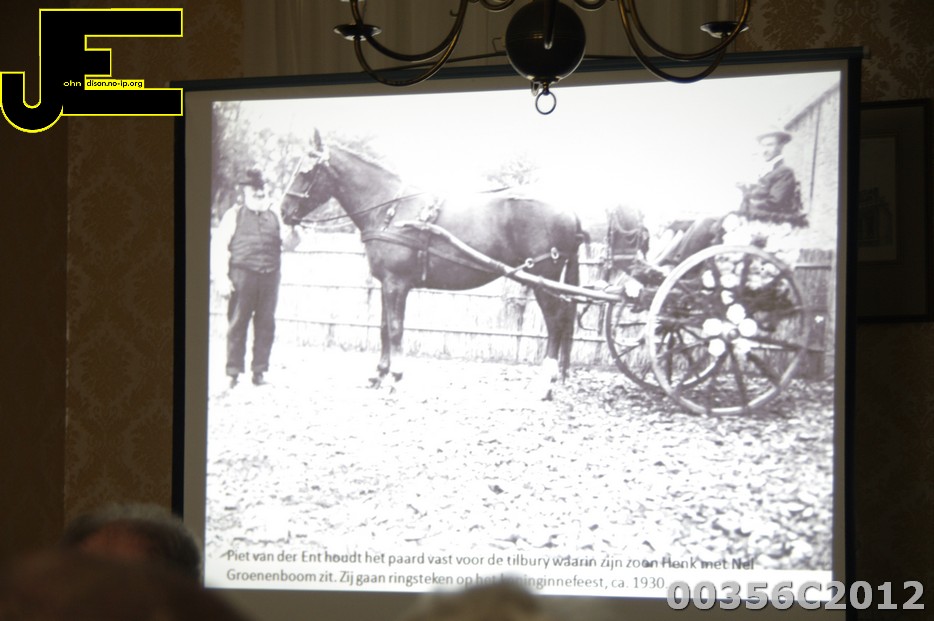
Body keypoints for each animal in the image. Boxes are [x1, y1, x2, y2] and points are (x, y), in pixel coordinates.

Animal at [280, 130, 584, 397]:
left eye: (305, 172)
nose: (283, 211)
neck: (389, 210)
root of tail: (569, 211)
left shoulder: (396, 284)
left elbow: (395, 329)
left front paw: (396, 378)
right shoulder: (386, 283)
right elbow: (383, 329)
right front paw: (378, 374)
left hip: (544, 280)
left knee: (555, 323)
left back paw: (545, 383)